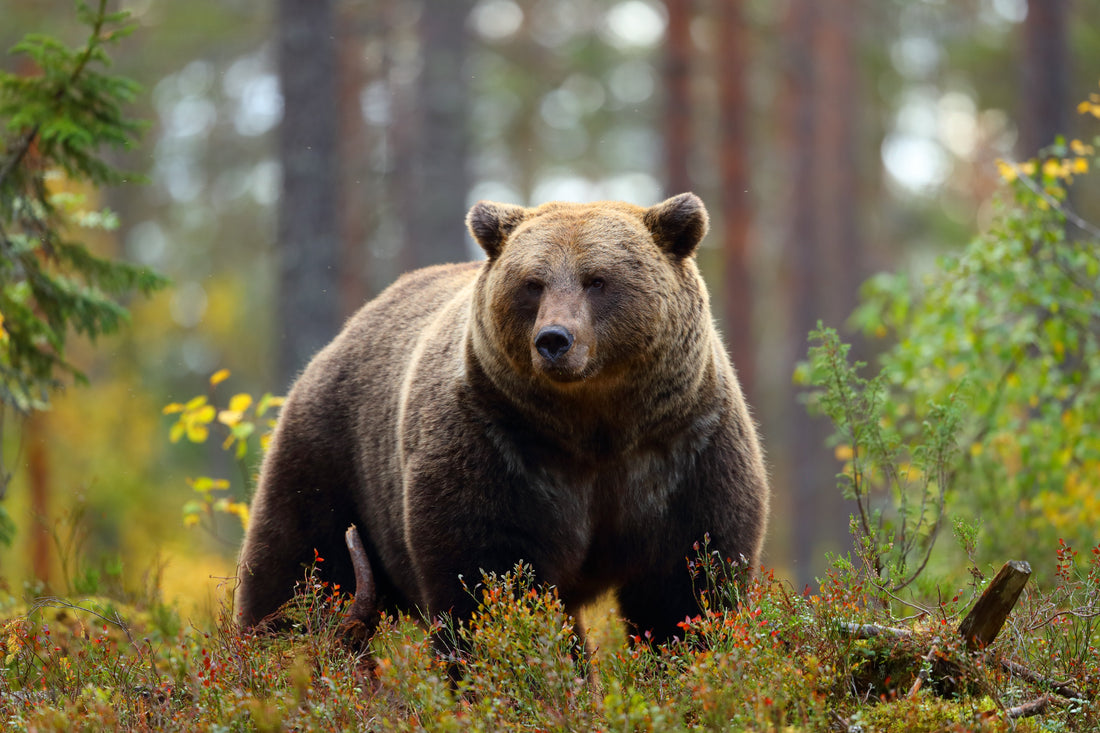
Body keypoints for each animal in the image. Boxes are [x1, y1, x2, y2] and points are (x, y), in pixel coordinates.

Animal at [235, 192, 769, 647]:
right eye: (533, 283)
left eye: (598, 280)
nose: (554, 339)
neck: (596, 427)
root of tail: (343, 335)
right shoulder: (498, 445)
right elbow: (489, 579)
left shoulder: (683, 448)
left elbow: (688, 585)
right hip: (332, 456)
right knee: (297, 567)